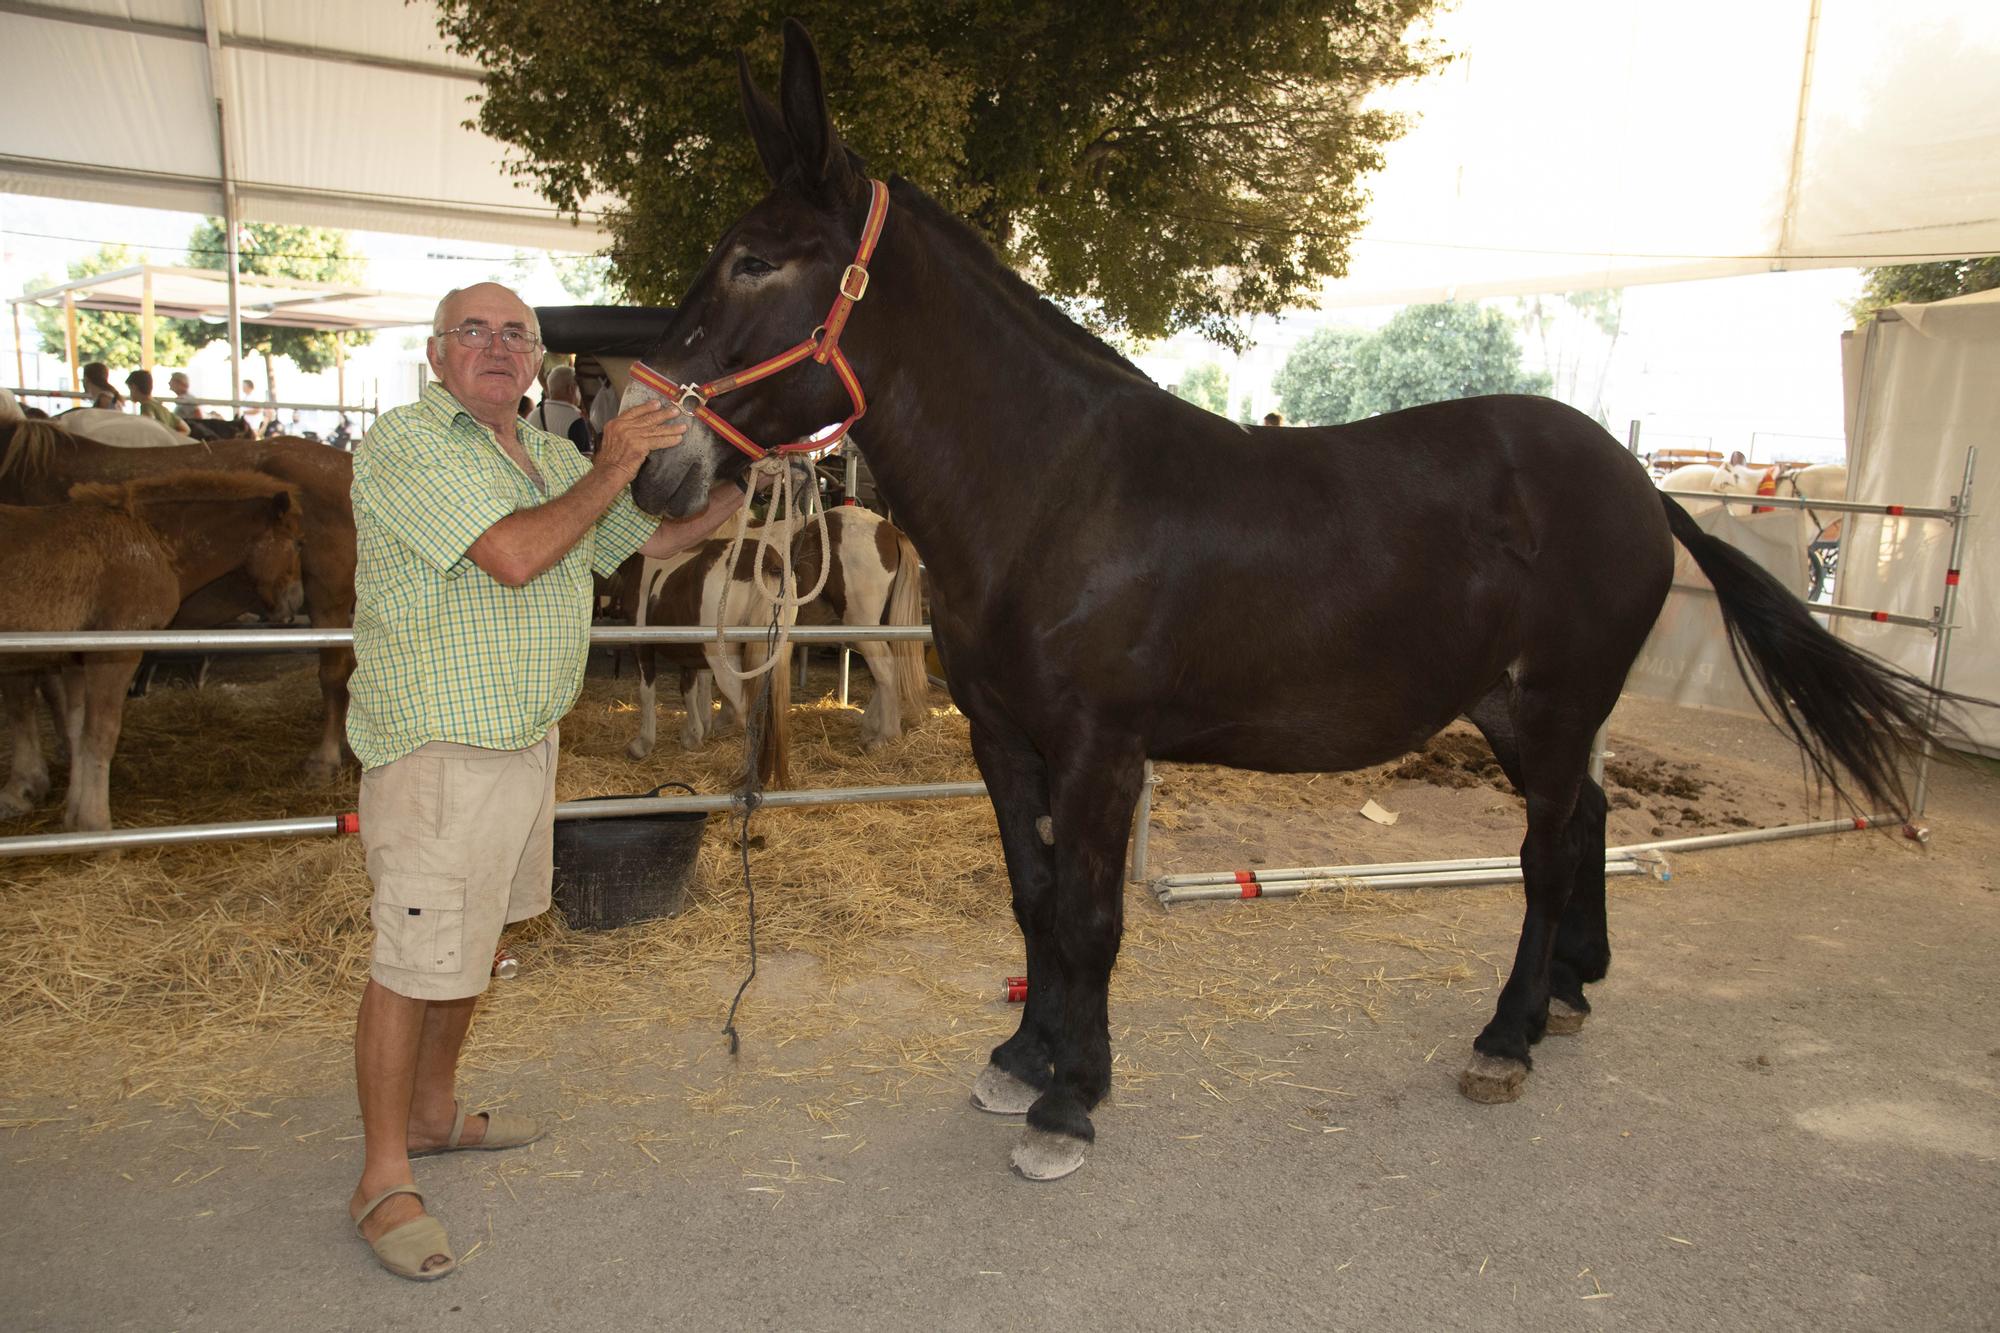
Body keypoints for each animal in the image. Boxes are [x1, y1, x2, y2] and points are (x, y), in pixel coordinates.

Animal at [0, 420, 356, 780]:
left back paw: (326, 757)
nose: (291, 601)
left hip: (328, 601)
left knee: (334, 675)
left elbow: (23, 698)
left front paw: (29, 775)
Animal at [0, 470, 304, 832]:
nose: (295, 602)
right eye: (297, 543)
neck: (153, 541)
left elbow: (77, 732)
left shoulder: (76, 661)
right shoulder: (114, 656)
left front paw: (73, 818)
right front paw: (96, 826)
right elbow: (100, 734)